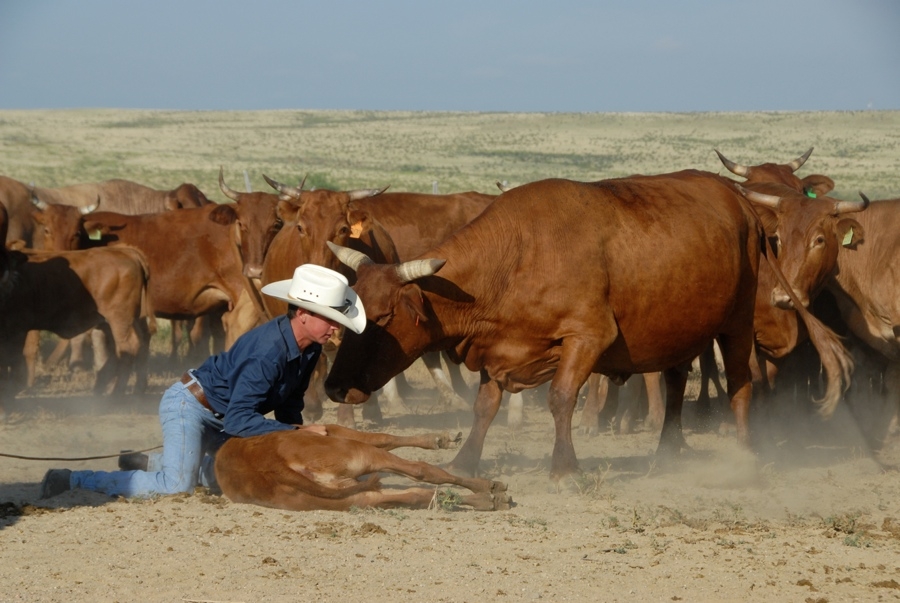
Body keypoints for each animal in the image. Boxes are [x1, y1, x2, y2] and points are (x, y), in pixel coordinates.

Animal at [214, 424, 510, 516]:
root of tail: (270, 465)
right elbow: (384, 438)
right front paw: (439, 439)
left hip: (350, 498)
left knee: (419, 495)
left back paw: (487, 500)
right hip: (361, 454)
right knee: (422, 472)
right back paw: (489, 490)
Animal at [324, 170, 852, 482]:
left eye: (384, 317)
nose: (331, 386)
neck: (518, 254)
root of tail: (745, 208)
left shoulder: (587, 338)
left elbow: (561, 399)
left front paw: (565, 468)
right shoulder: (498, 349)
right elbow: (485, 406)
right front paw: (465, 460)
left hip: (737, 324)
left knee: (741, 383)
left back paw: (742, 454)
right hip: (679, 328)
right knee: (675, 385)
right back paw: (667, 449)